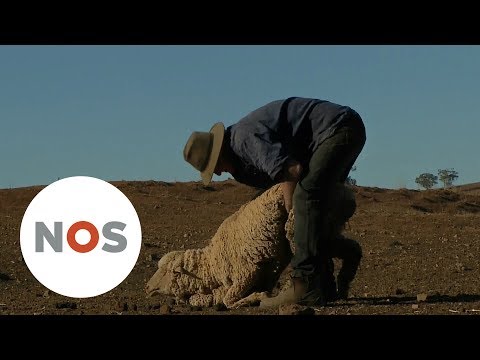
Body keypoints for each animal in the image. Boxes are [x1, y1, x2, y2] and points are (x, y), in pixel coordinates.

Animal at [146, 183, 360, 310]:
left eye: (168, 272)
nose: (147, 287)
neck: (212, 265)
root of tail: (345, 190)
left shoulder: (247, 273)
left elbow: (228, 300)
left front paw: (258, 297)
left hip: (306, 224)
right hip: (329, 229)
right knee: (351, 249)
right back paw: (340, 286)